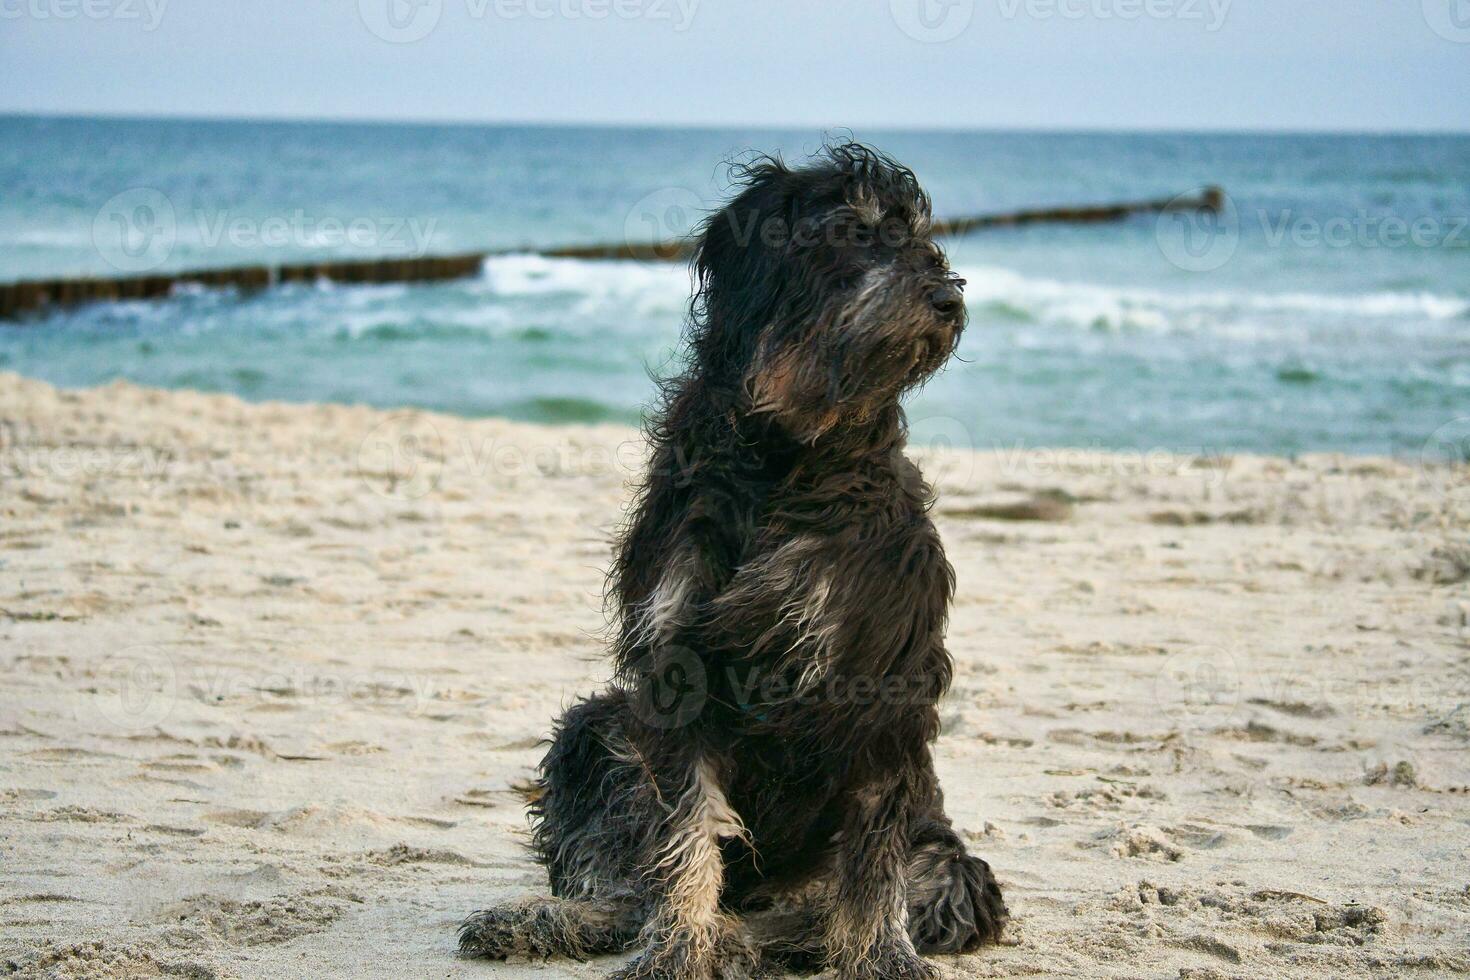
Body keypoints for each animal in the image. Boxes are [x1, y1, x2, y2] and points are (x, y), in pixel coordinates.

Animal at [458, 145, 1005, 980]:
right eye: (856, 231)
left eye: (921, 238)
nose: (948, 299)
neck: (788, 456)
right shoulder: (678, 662)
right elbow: (686, 840)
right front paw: (678, 948)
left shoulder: (885, 679)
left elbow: (873, 859)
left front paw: (881, 956)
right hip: (598, 729)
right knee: (632, 886)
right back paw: (551, 921)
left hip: (948, 862)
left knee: (837, 904)